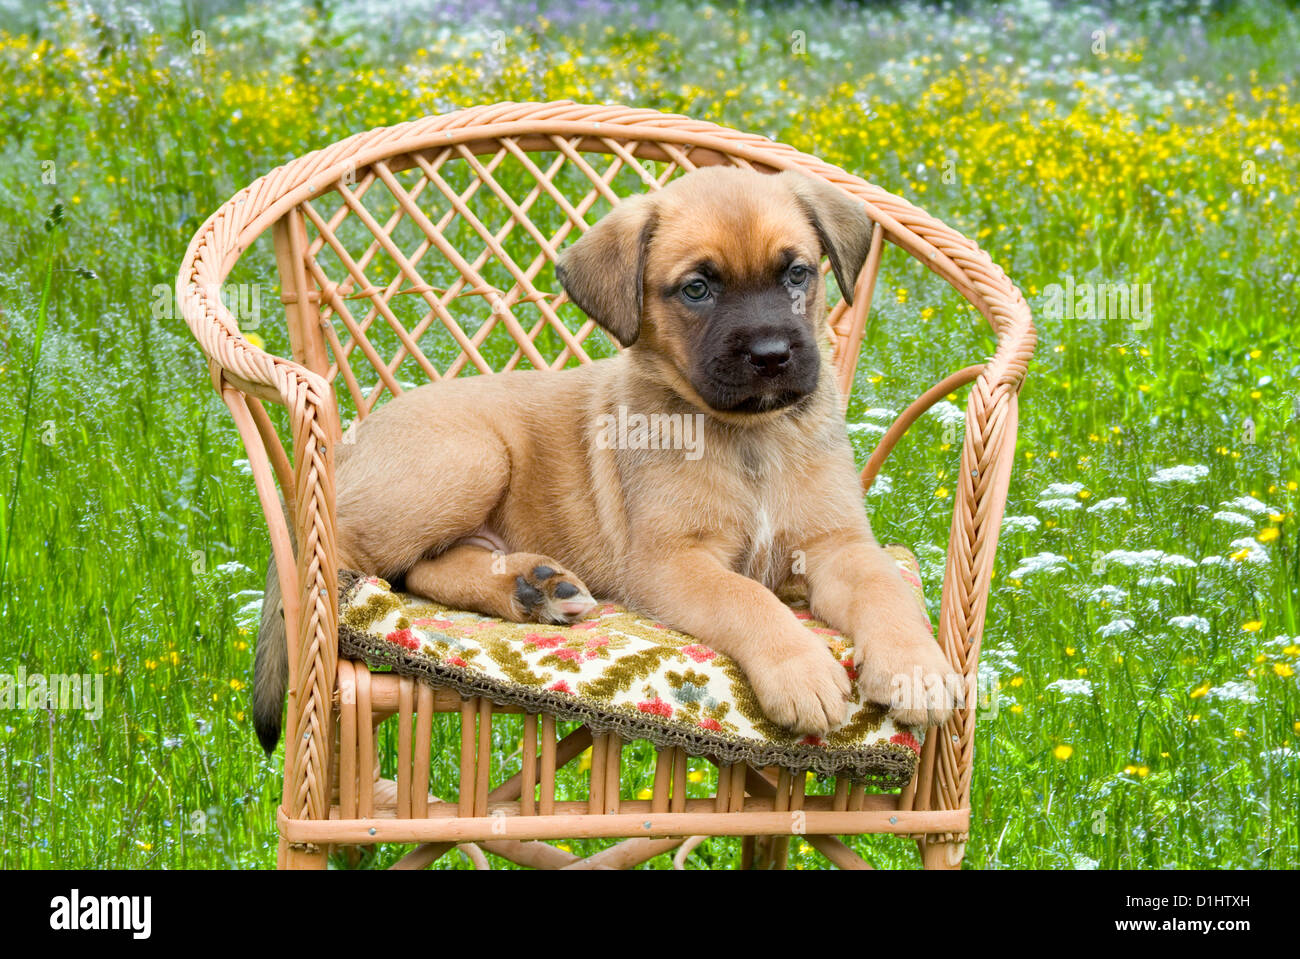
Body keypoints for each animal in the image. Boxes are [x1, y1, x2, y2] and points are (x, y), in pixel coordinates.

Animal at [256, 164, 967, 748]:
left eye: (798, 274)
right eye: (698, 289)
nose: (771, 356)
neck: (749, 439)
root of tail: (350, 444)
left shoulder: (835, 544)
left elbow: (885, 590)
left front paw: (916, 667)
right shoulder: (670, 562)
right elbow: (748, 599)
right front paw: (801, 671)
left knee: (420, 569)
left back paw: (534, 588)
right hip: (468, 457)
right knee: (339, 565)